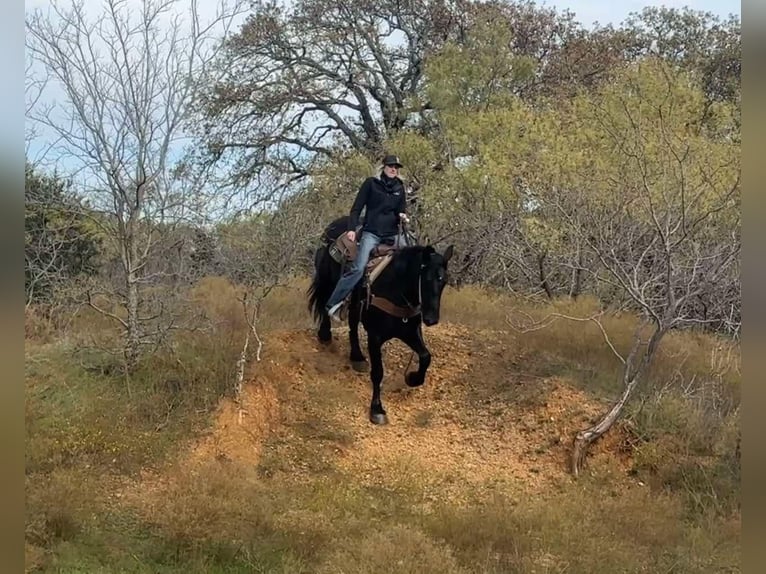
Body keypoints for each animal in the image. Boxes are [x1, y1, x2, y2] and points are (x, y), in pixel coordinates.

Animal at [308, 218, 452, 426]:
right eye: (425, 278)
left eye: (444, 281)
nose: (431, 319)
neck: (395, 288)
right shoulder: (375, 337)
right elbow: (378, 373)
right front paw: (377, 409)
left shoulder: (410, 331)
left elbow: (425, 356)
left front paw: (412, 378)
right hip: (328, 281)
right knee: (326, 303)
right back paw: (325, 335)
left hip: (355, 304)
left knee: (352, 324)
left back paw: (357, 357)